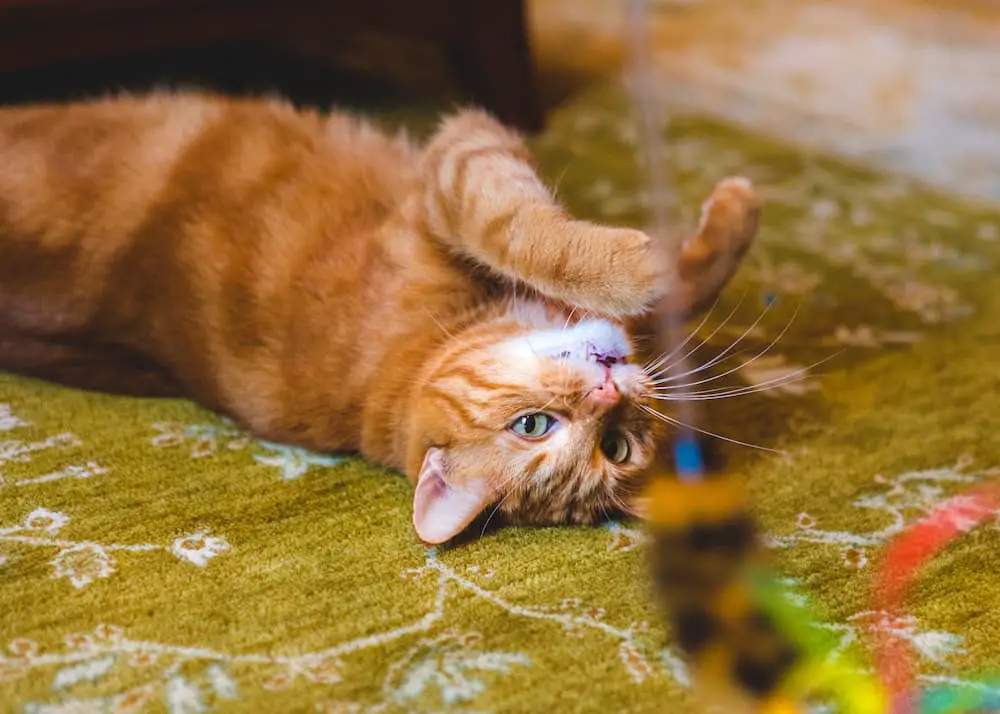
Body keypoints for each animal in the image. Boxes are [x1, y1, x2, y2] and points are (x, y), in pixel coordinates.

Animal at [0, 93, 752, 540]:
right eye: (535, 426)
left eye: (616, 446)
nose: (607, 387)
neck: (417, 347)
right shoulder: (454, 174)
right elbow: (532, 232)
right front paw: (666, 253)